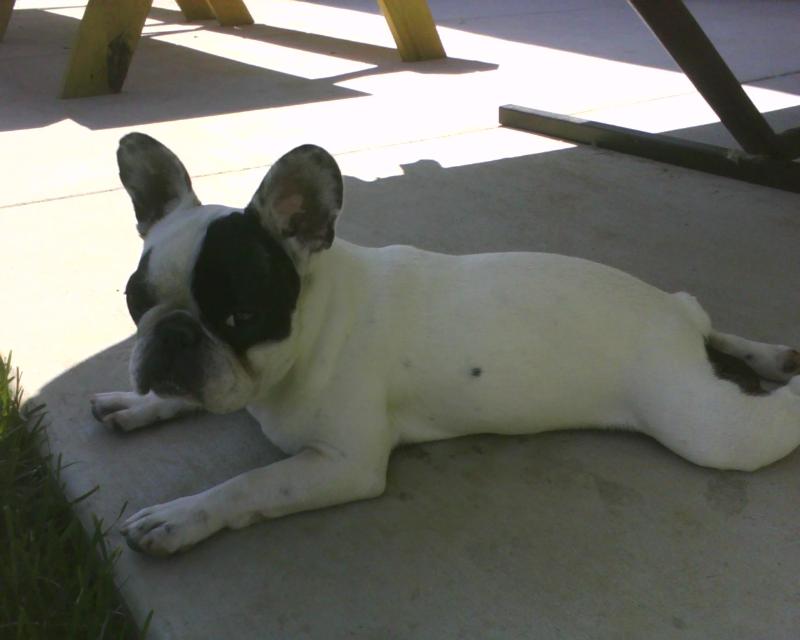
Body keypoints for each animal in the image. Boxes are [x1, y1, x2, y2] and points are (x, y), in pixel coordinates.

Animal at [91, 133, 800, 556]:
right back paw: (771, 353)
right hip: (699, 359)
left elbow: (248, 485)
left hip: (708, 428)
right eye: (136, 301)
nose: (174, 335)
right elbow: (183, 398)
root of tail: (671, 314)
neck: (312, 323)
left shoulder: (343, 462)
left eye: (240, 315)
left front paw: (180, 517)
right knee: (720, 331)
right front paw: (139, 402)